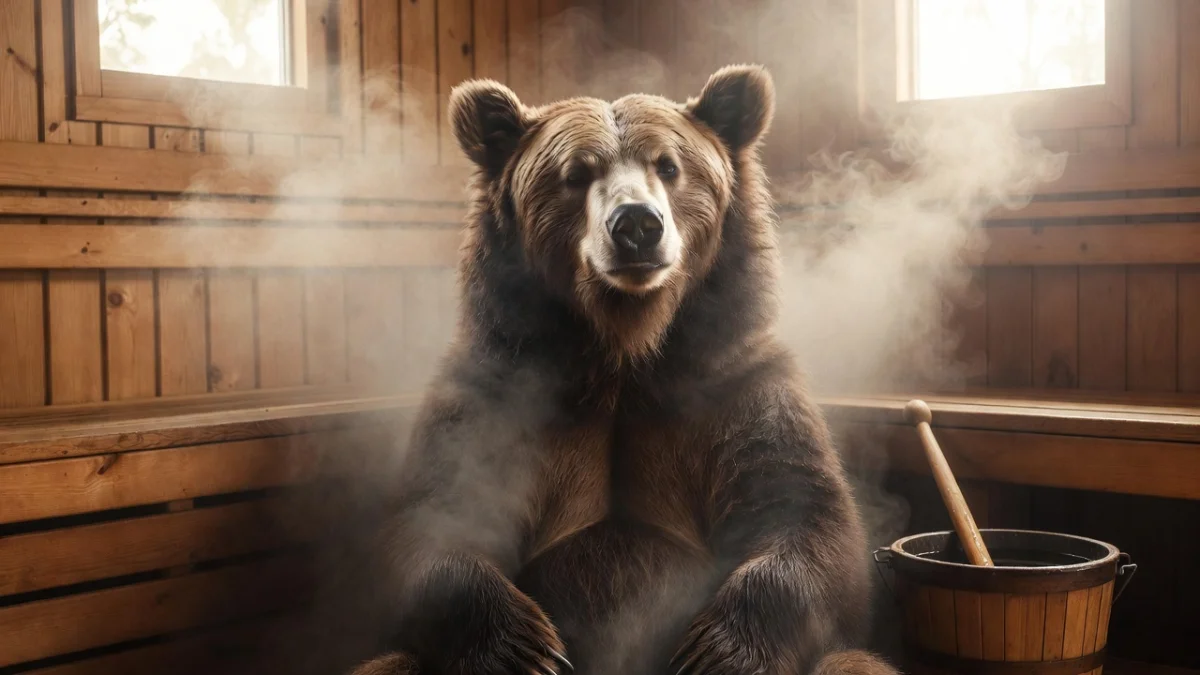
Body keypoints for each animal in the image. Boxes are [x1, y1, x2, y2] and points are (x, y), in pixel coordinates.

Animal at [346, 64, 899, 675]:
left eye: (669, 165)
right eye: (575, 173)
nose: (636, 224)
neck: (625, 355)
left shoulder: (738, 388)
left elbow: (806, 519)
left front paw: (717, 651)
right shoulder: (494, 394)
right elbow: (432, 523)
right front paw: (525, 647)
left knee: (854, 662)